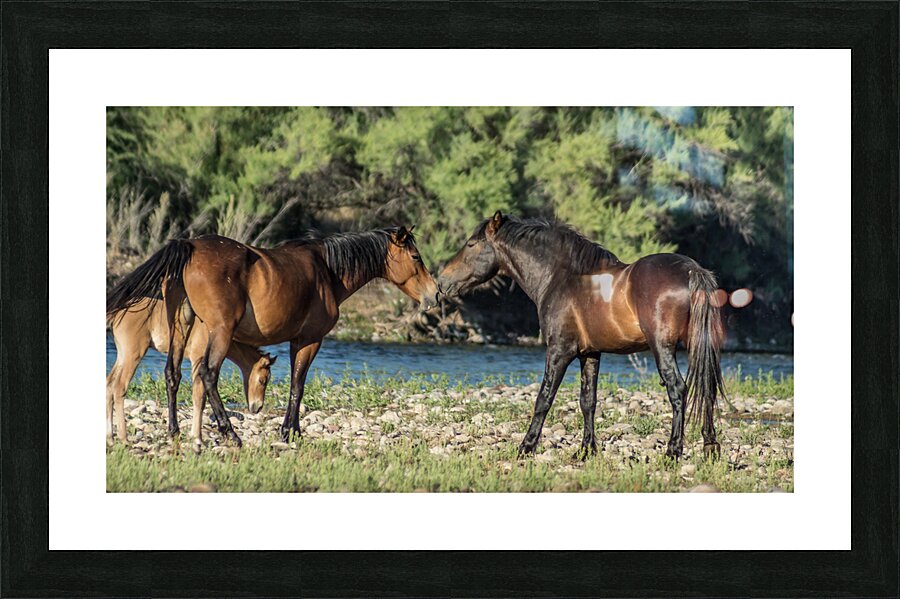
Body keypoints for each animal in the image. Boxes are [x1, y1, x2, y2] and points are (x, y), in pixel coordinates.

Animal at [107, 297, 276, 444]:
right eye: (263, 380)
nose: (257, 407)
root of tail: (117, 314)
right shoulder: (198, 359)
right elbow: (199, 397)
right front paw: (197, 438)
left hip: (123, 355)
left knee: (109, 383)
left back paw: (110, 437)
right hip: (133, 354)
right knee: (119, 386)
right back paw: (123, 438)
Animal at [437, 211, 726, 460]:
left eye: (471, 244)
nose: (441, 282)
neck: (561, 278)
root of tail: (693, 271)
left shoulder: (559, 350)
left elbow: (544, 398)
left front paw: (526, 447)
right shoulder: (590, 354)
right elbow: (588, 401)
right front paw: (586, 450)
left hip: (662, 348)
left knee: (678, 389)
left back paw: (673, 451)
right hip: (699, 345)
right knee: (706, 387)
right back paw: (710, 447)